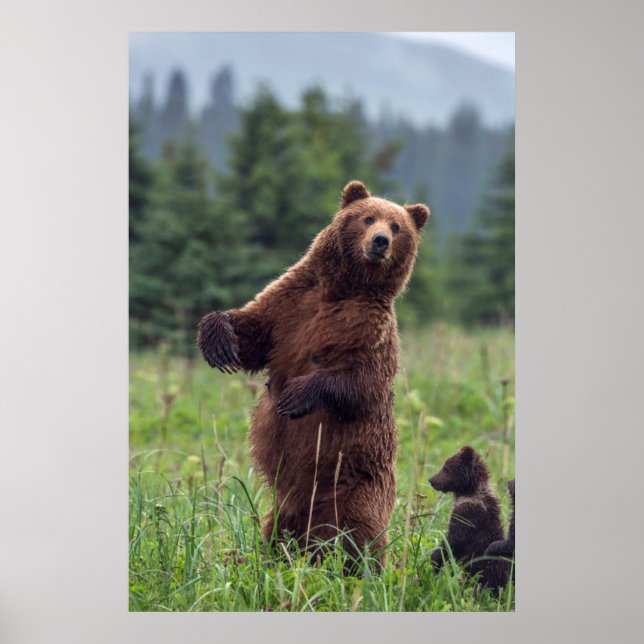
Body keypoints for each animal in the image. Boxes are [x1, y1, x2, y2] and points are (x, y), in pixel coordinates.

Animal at [197, 180, 429, 567]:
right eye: (368, 217)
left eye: (397, 227)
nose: (380, 241)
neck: (345, 288)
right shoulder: (292, 303)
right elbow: (254, 330)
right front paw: (218, 341)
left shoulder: (371, 331)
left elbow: (364, 383)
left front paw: (296, 396)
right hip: (286, 507)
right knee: (277, 530)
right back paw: (272, 557)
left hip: (357, 483)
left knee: (359, 532)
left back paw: (358, 566)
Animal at [428, 446, 510, 591]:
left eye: (446, 468)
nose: (431, 480)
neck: (470, 491)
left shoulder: (467, 514)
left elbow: (453, 539)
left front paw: (435, 559)